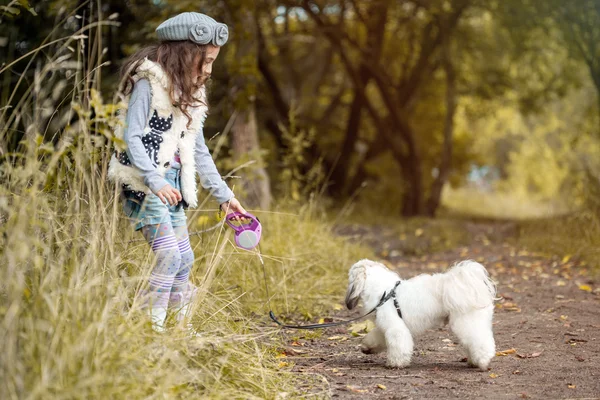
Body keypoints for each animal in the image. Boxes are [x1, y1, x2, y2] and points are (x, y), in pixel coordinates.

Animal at [344, 260, 494, 368]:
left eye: (350, 276)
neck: (385, 292)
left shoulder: (396, 328)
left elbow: (399, 345)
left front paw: (396, 363)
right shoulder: (386, 326)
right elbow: (376, 337)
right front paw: (367, 347)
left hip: (467, 322)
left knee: (481, 341)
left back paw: (482, 361)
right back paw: (473, 361)